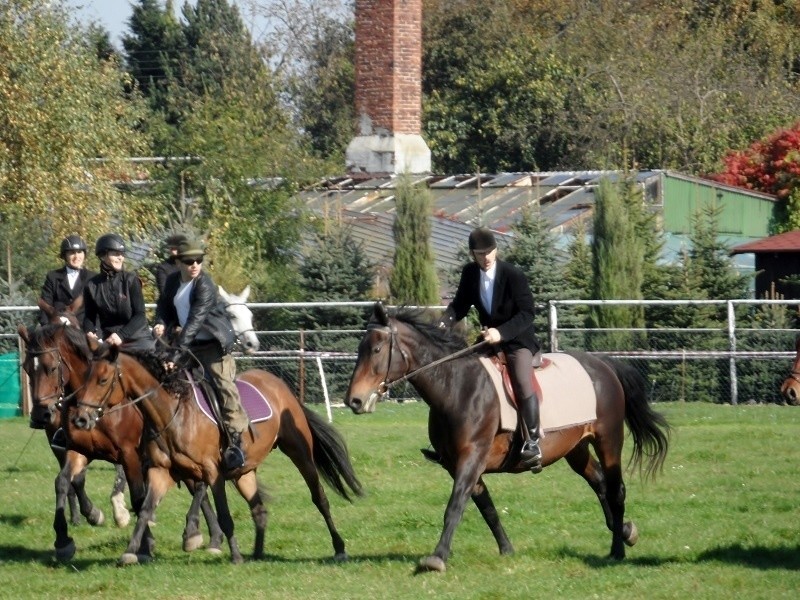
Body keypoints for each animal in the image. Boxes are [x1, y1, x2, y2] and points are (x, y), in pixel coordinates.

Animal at [21, 324, 222, 564]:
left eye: (51, 368)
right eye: (26, 368)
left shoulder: (129, 455)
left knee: (198, 485)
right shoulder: (78, 450)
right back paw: (207, 535)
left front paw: (144, 545)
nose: (39, 416)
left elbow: (137, 497)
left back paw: (206, 536)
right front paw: (66, 539)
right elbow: (63, 482)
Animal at [70, 340, 364, 564]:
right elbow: (144, 510)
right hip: (245, 473)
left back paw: (339, 548)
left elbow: (223, 514)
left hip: (299, 452)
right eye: (85, 377)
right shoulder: (161, 472)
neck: (171, 412)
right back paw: (258, 554)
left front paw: (232, 555)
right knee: (259, 508)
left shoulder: (212, 472)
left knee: (320, 498)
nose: (81, 419)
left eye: (103, 379)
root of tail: (280, 385)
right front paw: (131, 552)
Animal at [344, 304, 668, 572]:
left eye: (376, 349)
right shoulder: (459, 465)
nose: (354, 401)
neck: (456, 386)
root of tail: (603, 366)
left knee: (615, 490)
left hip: (608, 440)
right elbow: (485, 507)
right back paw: (623, 532)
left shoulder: (471, 459)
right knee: (599, 483)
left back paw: (618, 550)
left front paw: (437, 558)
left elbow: (455, 506)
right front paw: (506, 549)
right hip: (574, 448)